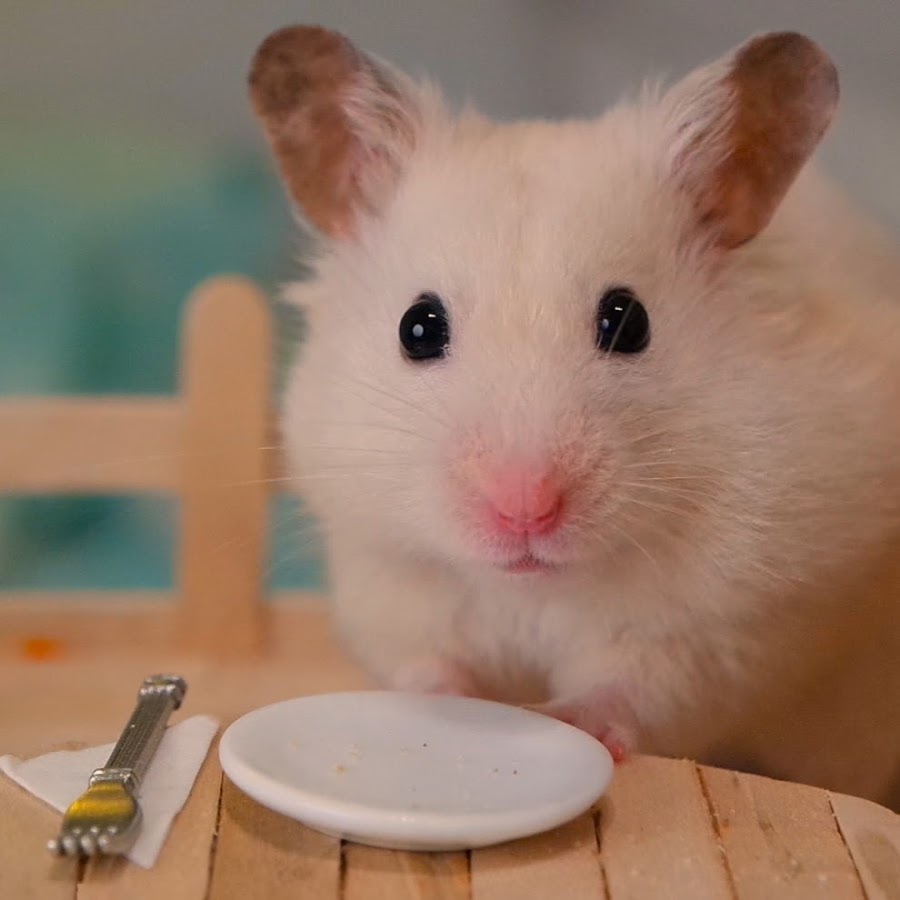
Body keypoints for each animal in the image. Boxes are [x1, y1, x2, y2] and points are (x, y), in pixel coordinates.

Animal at [246, 28, 900, 804]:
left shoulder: (745, 615)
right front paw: (447, 706)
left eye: (627, 319)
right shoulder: (387, 577)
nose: (524, 509)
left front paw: (565, 722)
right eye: (418, 327)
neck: (537, 586)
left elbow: (644, 685)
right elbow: (423, 659)